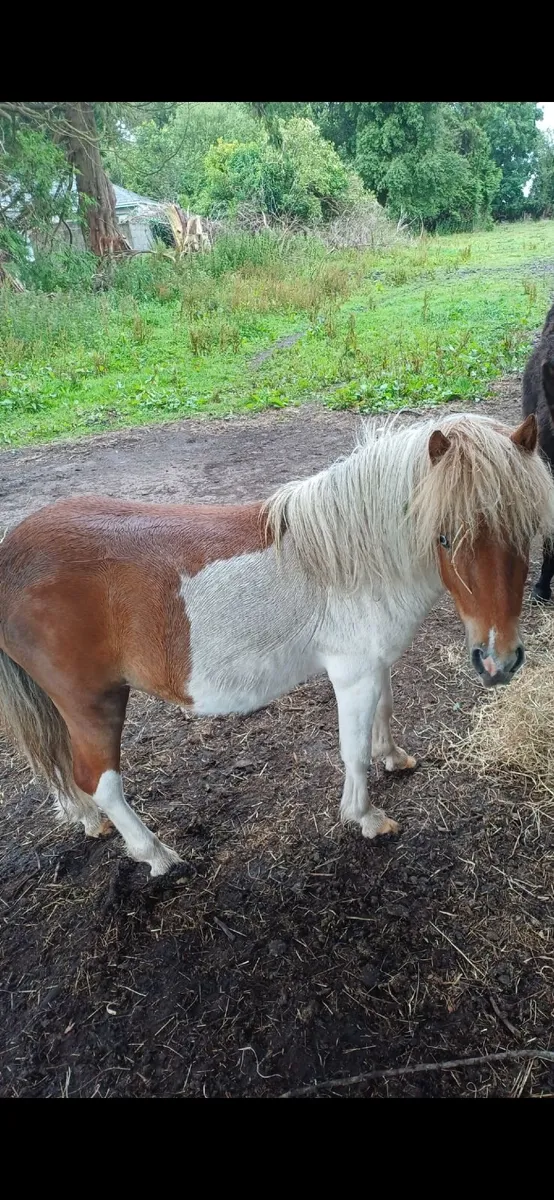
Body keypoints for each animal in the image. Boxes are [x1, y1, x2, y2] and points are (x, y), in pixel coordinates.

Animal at [0, 411, 551, 879]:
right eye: (443, 537)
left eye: (527, 530)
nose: (499, 661)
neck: (354, 560)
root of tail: (12, 555)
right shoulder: (352, 673)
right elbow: (353, 752)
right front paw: (367, 818)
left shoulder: (375, 666)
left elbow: (385, 712)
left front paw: (394, 758)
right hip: (92, 703)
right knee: (100, 779)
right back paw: (155, 855)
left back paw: (89, 821)